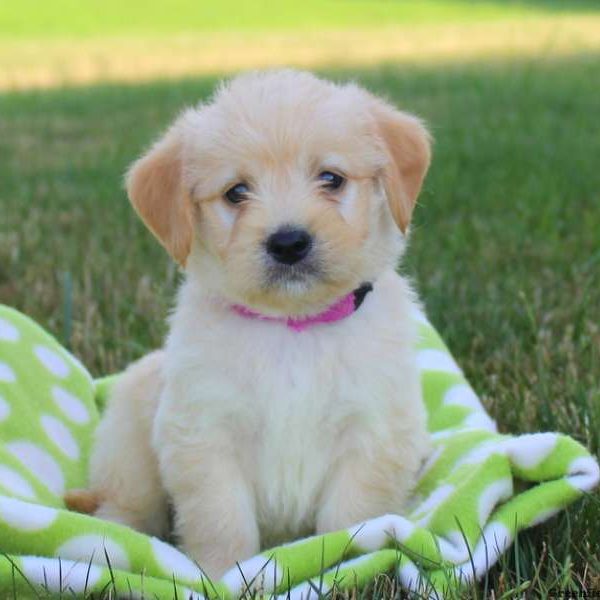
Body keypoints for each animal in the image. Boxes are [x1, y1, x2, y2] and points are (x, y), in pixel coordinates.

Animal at [83, 70, 432, 580]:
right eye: (236, 192)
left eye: (331, 178)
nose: (288, 243)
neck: (292, 327)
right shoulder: (205, 435)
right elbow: (222, 520)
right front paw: (221, 577)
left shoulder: (373, 433)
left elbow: (348, 518)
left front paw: (349, 561)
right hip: (128, 444)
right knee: (126, 503)